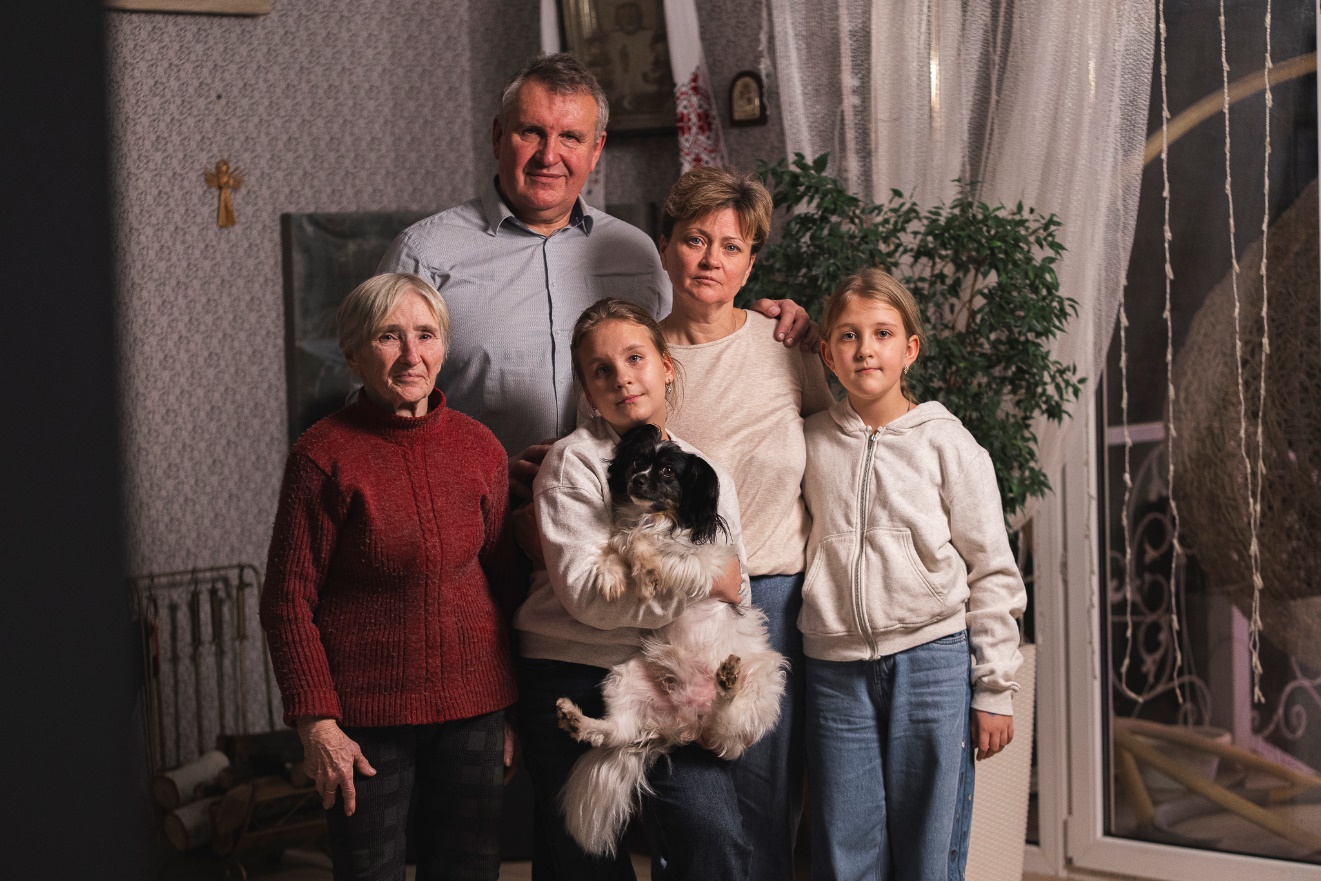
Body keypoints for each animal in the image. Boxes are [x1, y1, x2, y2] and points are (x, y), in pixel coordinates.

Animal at [555, 423, 786, 858]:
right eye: (637, 462)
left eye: (666, 472)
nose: (636, 480)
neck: (655, 518)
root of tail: (686, 724)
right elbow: (616, 545)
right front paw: (613, 576)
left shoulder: (705, 563)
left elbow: (642, 546)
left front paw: (646, 574)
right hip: (625, 679)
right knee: (615, 732)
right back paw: (577, 720)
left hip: (762, 685)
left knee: (725, 724)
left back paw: (727, 682)